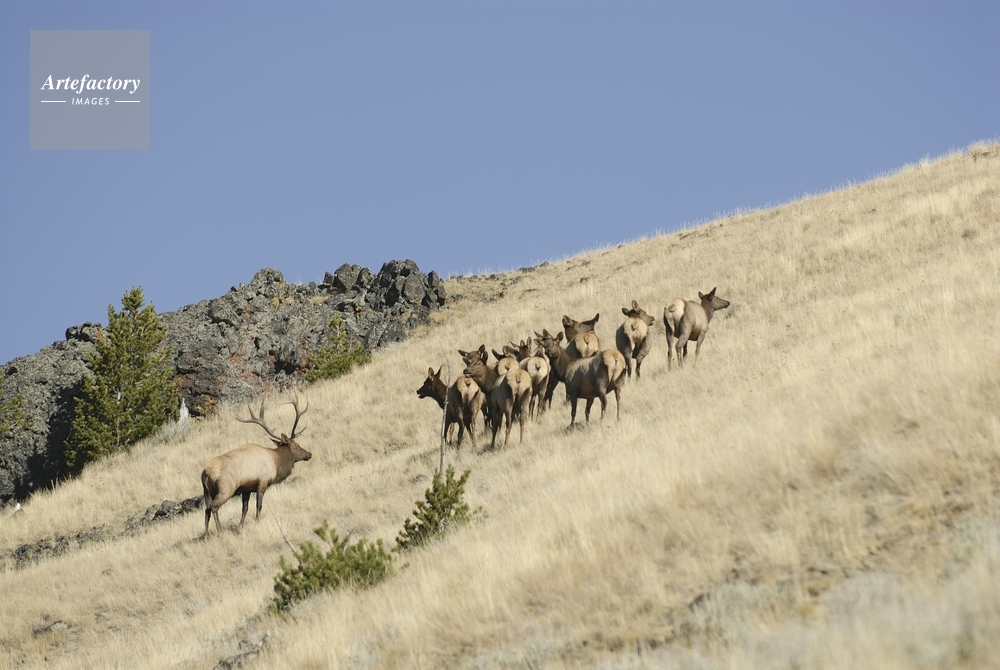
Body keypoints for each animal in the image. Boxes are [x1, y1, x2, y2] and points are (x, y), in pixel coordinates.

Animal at [201, 396, 311, 539]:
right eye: (297, 445)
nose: (309, 454)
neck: (276, 462)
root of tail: (205, 473)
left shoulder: (246, 488)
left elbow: (245, 508)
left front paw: (240, 527)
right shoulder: (262, 482)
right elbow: (259, 505)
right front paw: (257, 521)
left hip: (207, 492)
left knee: (207, 509)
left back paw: (206, 535)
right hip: (226, 489)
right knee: (214, 507)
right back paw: (220, 531)